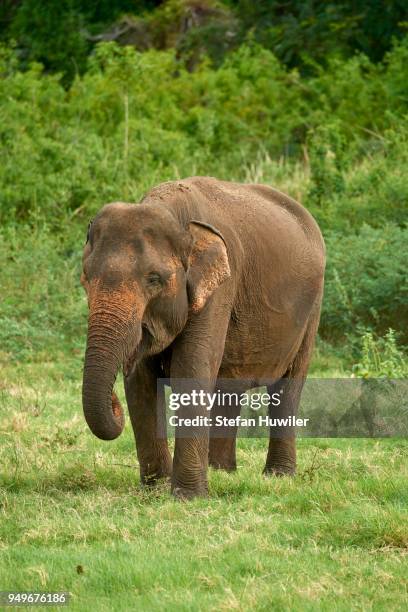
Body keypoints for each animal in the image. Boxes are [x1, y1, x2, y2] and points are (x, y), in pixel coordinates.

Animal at [80, 176, 326, 498]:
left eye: (154, 279)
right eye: (85, 279)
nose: (112, 402)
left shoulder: (220, 288)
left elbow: (190, 369)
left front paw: (188, 497)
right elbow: (140, 382)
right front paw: (156, 490)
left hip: (312, 309)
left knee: (288, 386)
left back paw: (278, 476)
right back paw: (223, 472)